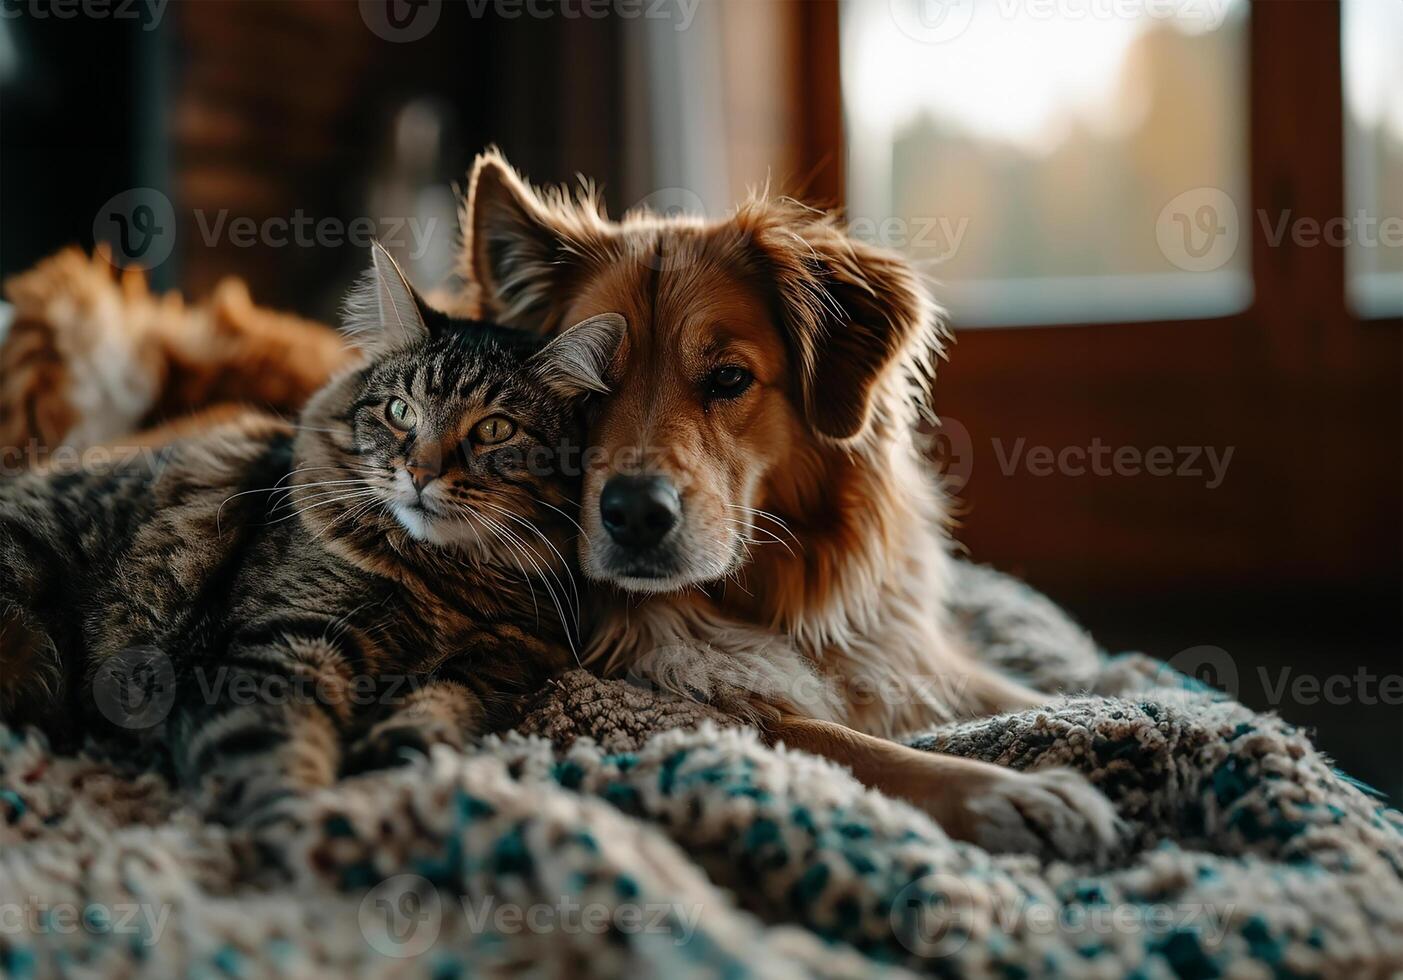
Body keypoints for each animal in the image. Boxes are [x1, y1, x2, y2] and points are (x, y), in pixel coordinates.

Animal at [0, 241, 625, 824]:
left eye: (494, 430)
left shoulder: (498, 669)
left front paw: (401, 752)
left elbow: (444, 704)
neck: (442, 581)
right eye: (400, 411)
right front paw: (310, 827)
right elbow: (270, 760)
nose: (420, 473)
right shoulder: (284, 645)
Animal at [465, 149, 1122, 863]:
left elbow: (1010, 691)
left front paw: (1131, 690)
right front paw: (1008, 792)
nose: (636, 514)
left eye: (729, 378)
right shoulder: (698, 704)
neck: (767, 596)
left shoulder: (897, 647)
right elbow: (856, 747)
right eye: (585, 393)